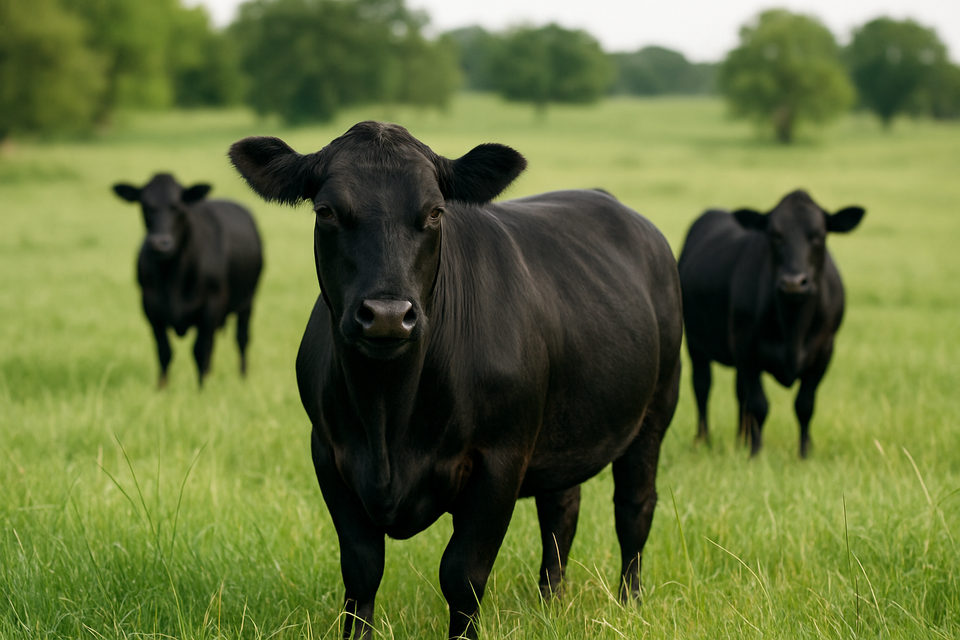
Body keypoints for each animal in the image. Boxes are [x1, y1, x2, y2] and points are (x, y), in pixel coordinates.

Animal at [113, 174, 263, 388]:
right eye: (145, 205)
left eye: (177, 206)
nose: (159, 243)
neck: (173, 277)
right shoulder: (150, 308)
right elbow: (164, 351)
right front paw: (162, 388)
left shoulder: (211, 307)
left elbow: (200, 351)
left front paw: (202, 389)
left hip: (247, 302)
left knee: (241, 339)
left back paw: (242, 378)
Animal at [228, 121, 683, 640]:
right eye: (326, 211)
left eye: (435, 211)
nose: (387, 315)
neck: (388, 420)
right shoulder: (329, 454)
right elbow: (361, 570)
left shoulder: (500, 460)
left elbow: (462, 574)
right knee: (560, 510)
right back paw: (551, 602)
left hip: (655, 411)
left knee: (633, 508)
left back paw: (630, 605)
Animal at [677, 190, 864, 458]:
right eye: (774, 234)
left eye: (819, 234)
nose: (793, 283)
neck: (793, 328)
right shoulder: (746, 348)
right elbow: (759, 404)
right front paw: (756, 453)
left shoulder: (824, 351)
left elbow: (805, 404)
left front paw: (804, 453)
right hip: (696, 343)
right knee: (702, 386)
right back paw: (704, 439)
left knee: (739, 392)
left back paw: (741, 439)